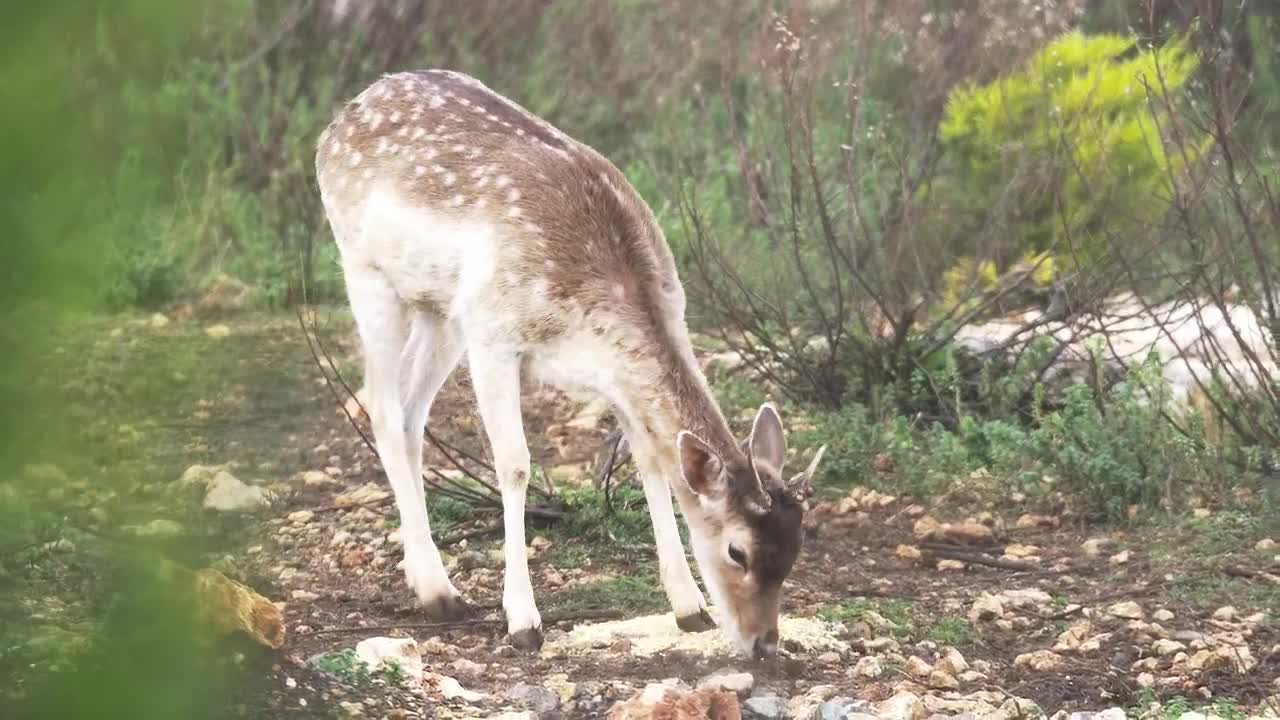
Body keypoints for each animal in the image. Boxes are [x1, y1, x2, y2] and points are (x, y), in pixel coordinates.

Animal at [314, 70, 825, 657]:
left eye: (796, 550)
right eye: (737, 551)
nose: (764, 643)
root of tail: (339, 119)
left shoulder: (614, 377)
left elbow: (650, 460)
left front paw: (689, 606)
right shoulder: (493, 333)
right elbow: (514, 464)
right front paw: (523, 621)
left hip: (439, 310)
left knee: (409, 414)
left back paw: (427, 580)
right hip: (368, 273)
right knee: (380, 406)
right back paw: (439, 592)